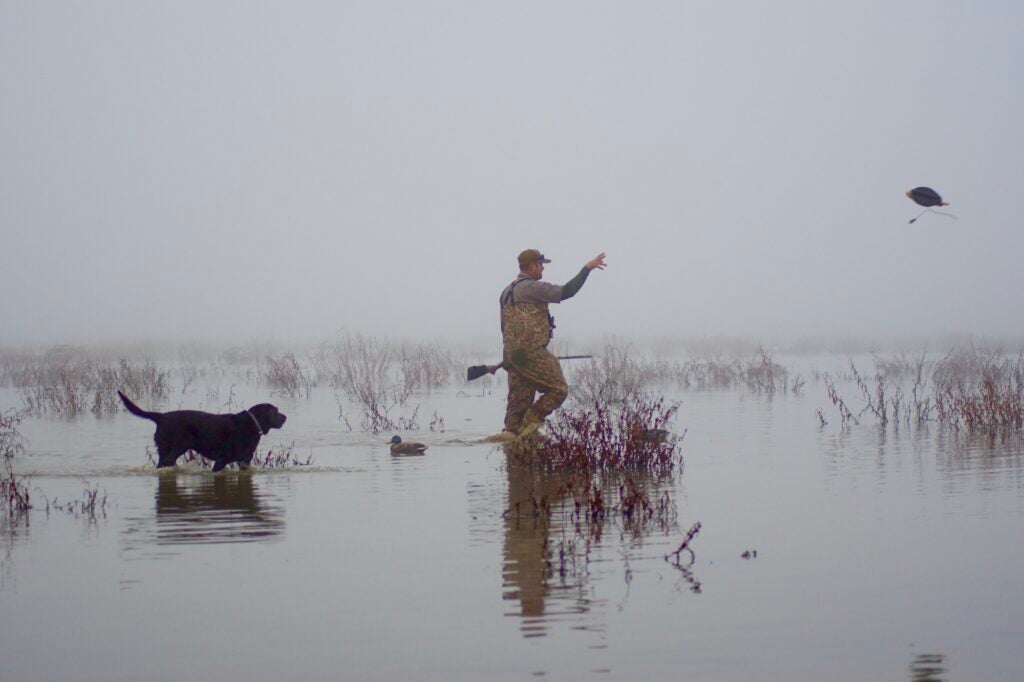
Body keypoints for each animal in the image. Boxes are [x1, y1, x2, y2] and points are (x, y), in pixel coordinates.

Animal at [119, 391, 288, 471]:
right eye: (276, 411)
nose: (285, 417)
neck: (251, 424)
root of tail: (161, 416)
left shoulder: (244, 461)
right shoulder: (222, 459)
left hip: (164, 448)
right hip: (180, 445)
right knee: (169, 460)